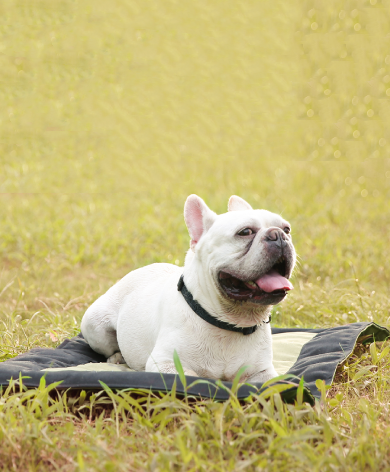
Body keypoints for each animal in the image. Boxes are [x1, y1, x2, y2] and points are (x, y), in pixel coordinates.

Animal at [81, 195, 296, 384]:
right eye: (245, 232)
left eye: (287, 228)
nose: (278, 235)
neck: (228, 323)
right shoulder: (166, 363)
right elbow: (194, 378)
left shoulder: (261, 371)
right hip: (95, 326)